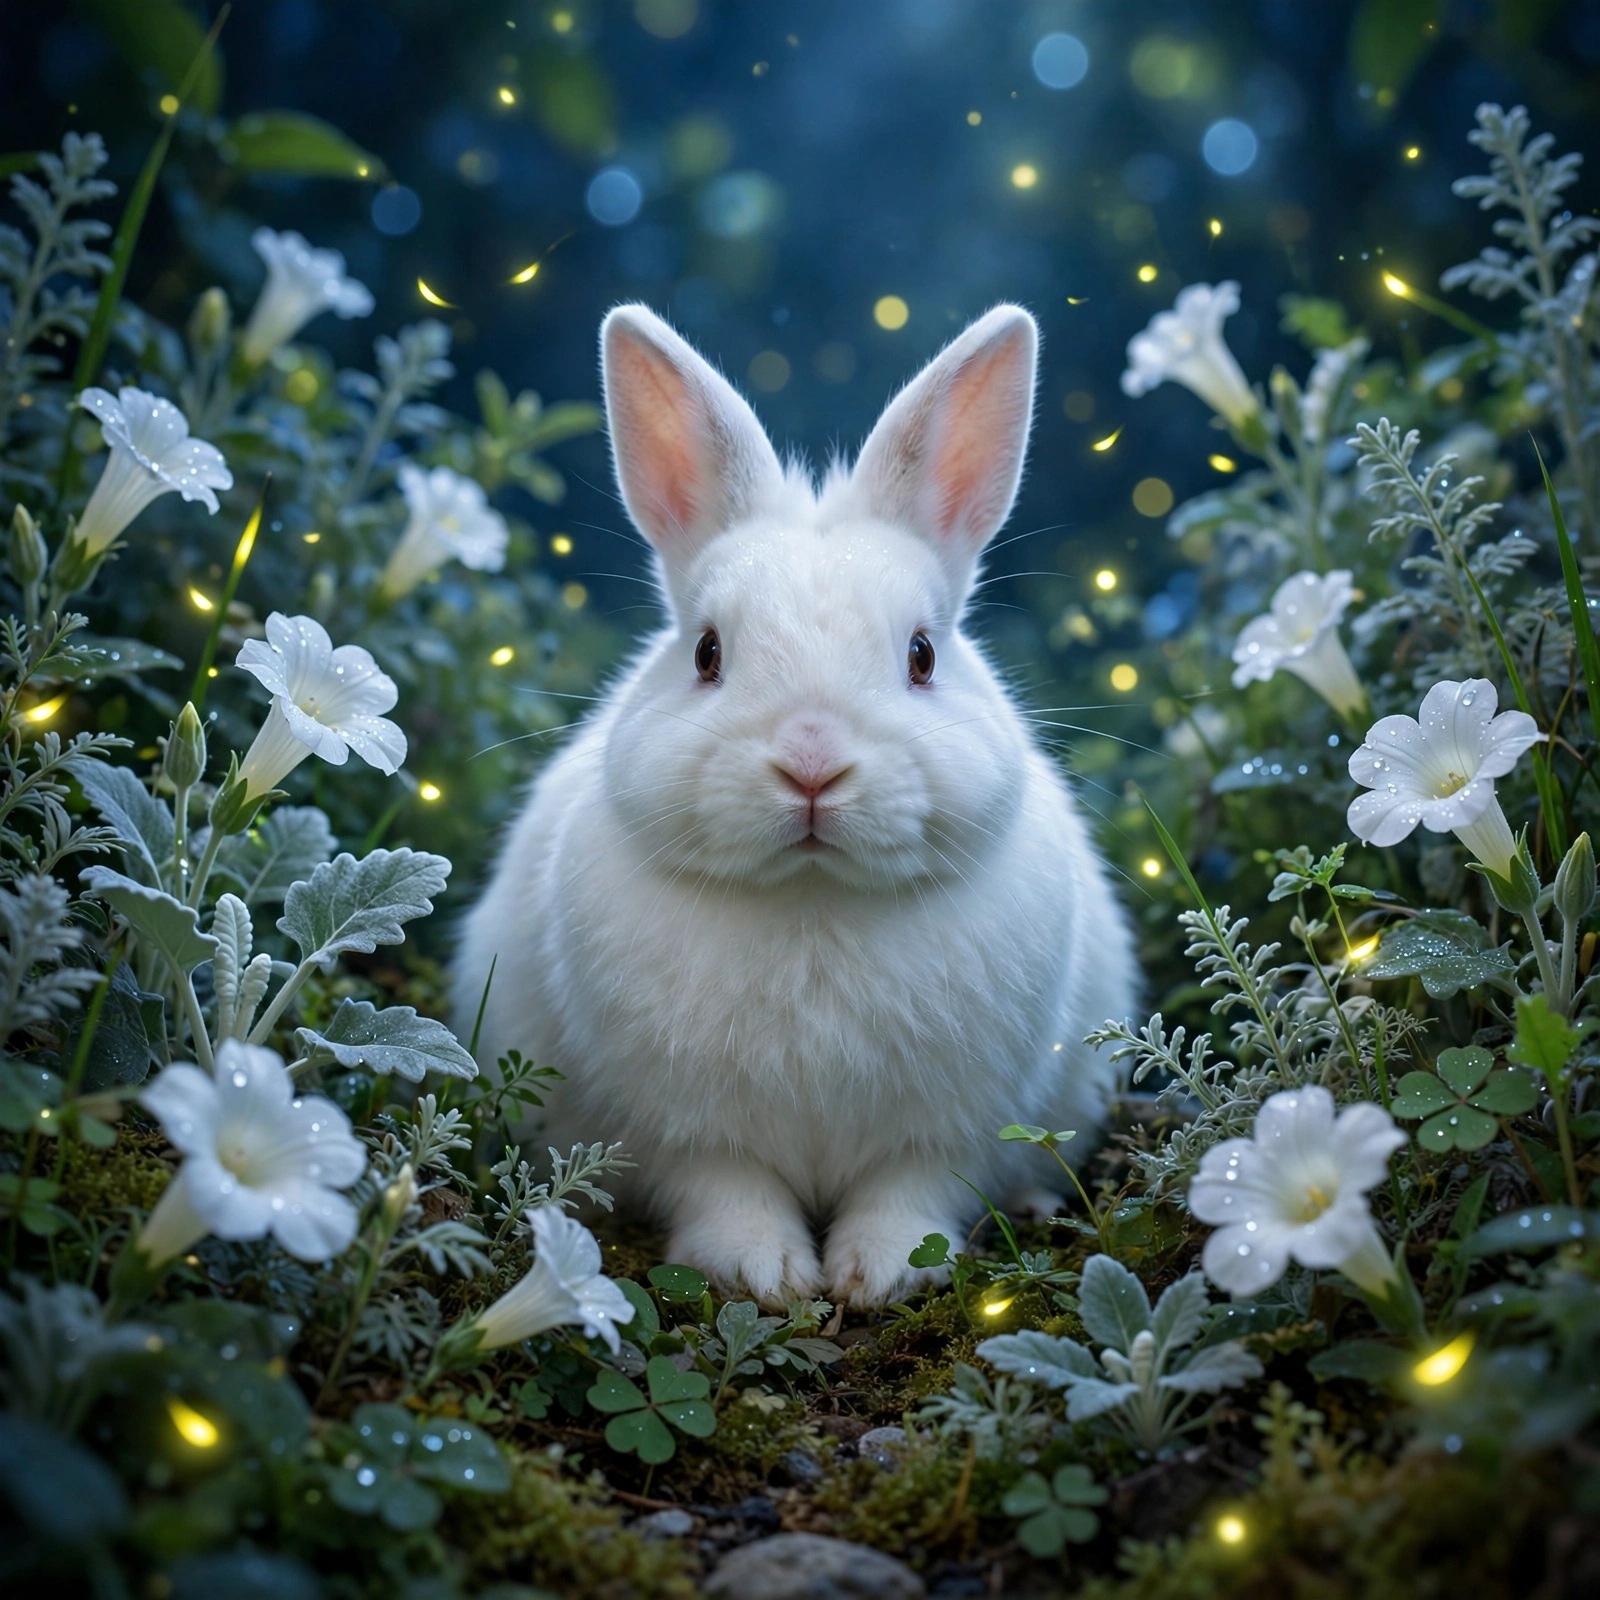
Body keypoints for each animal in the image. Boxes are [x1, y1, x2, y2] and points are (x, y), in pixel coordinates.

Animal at [453, 302, 1138, 1308]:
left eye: (923, 655)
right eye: (706, 653)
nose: (812, 764)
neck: (812, 896)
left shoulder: (951, 1127)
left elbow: (911, 1191)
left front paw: (882, 1275)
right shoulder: (687, 1130)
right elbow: (727, 1188)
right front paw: (763, 1273)